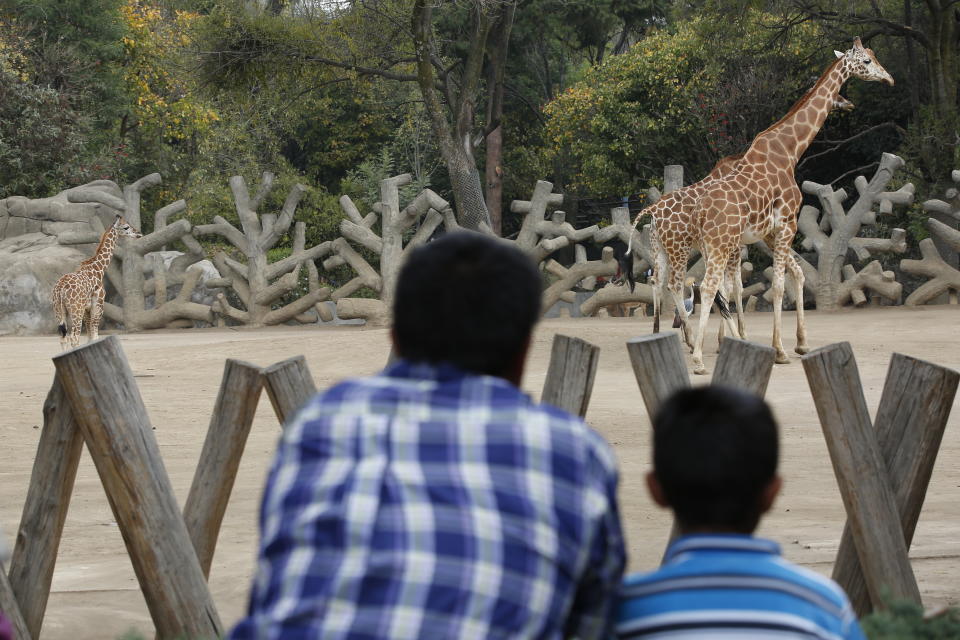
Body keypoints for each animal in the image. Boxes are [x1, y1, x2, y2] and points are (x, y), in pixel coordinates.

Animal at [52, 212, 142, 348]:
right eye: (126, 227)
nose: (138, 233)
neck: (99, 268)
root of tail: (60, 289)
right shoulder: (98, 305)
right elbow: (95, 336)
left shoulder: (86, 309)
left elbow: (90, 337)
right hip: (76, 310)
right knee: (74, 337)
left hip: (59, 310)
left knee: (63, 338)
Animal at [624, 94, 856, 340]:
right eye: (840, 97)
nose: (848, 102)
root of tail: (652, 211)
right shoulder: (735, 245)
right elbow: (732, 286)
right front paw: (735, 335)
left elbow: (731, 286)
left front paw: (730, 335)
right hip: (679, 248)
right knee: (675, 284)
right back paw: (689, 336)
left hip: (661, 247)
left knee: (657, 280)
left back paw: (664, 332)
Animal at [684, 37, 892, 372]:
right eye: (867, 61)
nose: (889, 78)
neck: (790, 151)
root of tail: (700, 212)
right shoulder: (786, 225)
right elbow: (781, 286)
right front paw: (780, 350)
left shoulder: (771, 232)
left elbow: (797, 275)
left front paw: (801, 343)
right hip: (721, 244)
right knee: (709, 287)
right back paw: (700, 358)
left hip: (713, 245)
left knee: (715, 289)